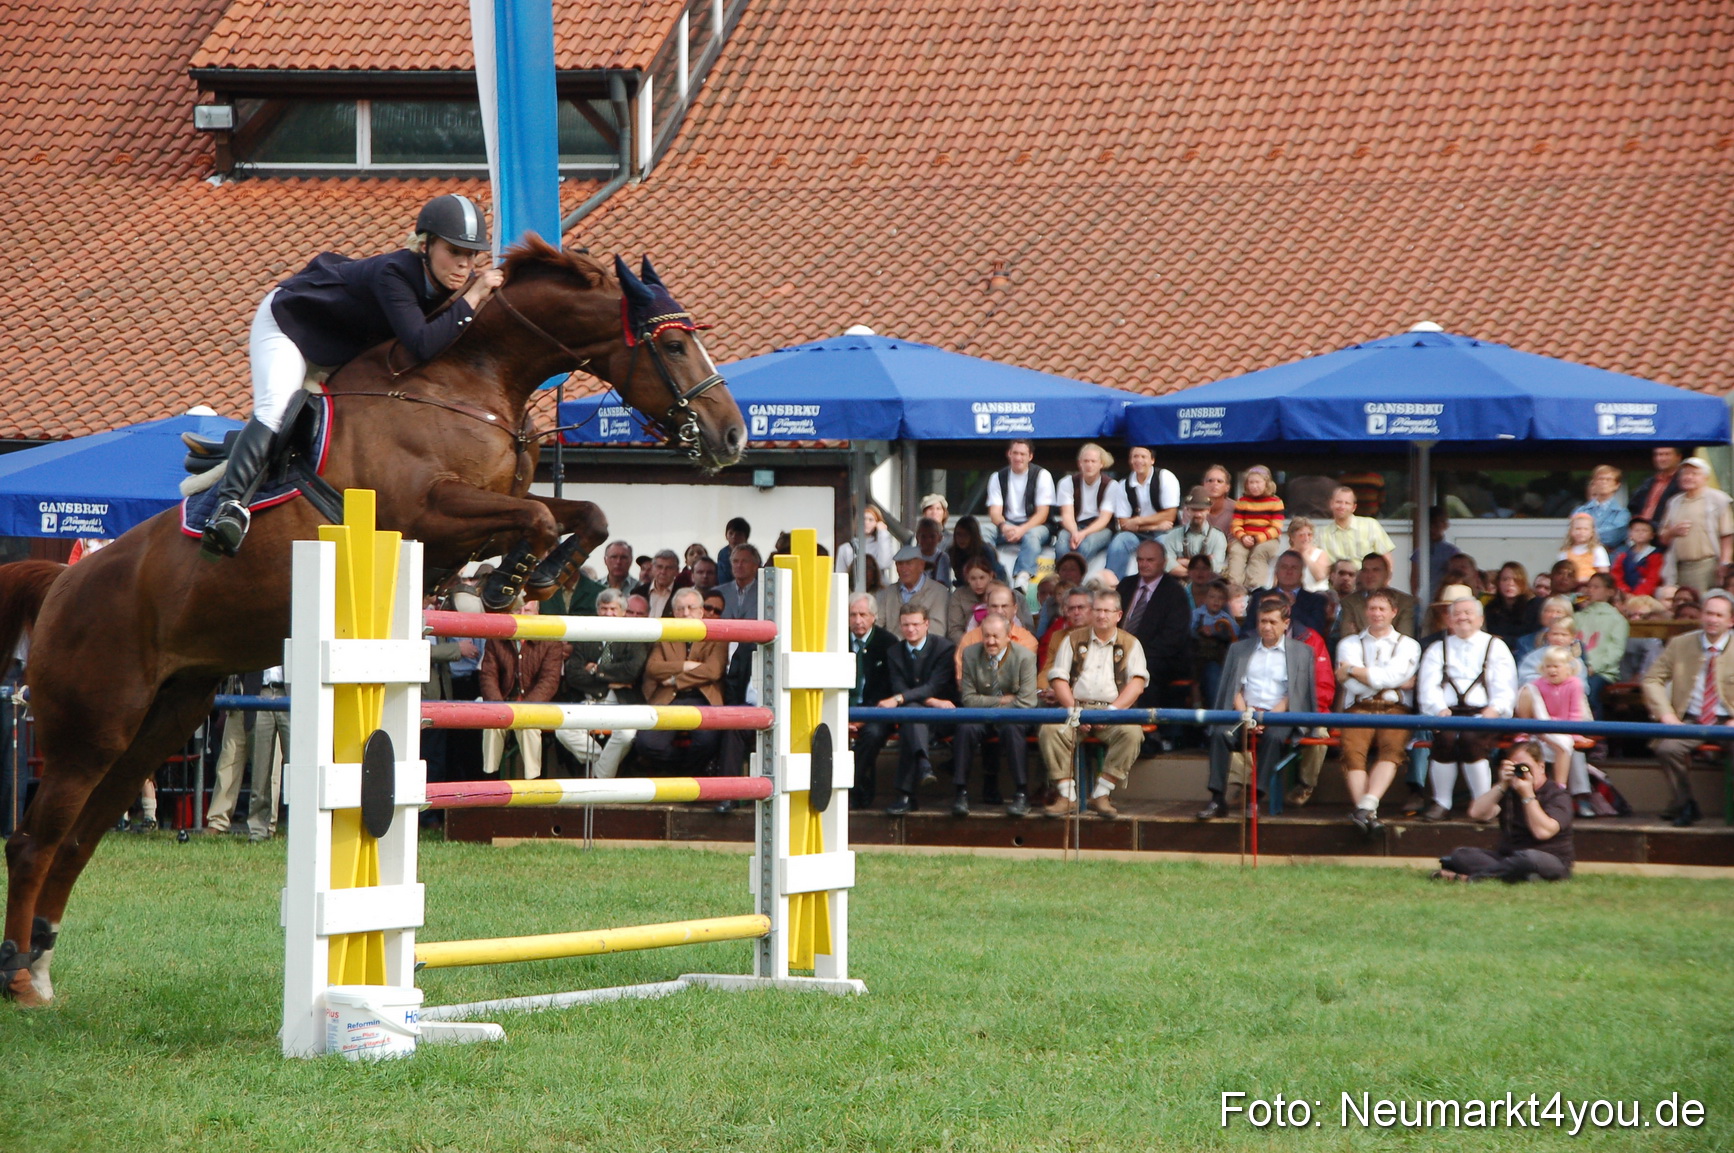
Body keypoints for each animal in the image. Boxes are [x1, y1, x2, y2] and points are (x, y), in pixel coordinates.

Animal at [0, 236, 746, 1005]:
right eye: (674, 343)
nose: (732, 435)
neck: (470, 377)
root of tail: (61, 583)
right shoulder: (429, 509)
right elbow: (538, 518)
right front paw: (513, 577)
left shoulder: (492, 503)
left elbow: (581, 512)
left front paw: (539, 575)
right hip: (94, 726)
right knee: (34, 841)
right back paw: (19, 975)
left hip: (161, 721)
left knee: (77, 838)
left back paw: (42, 964)